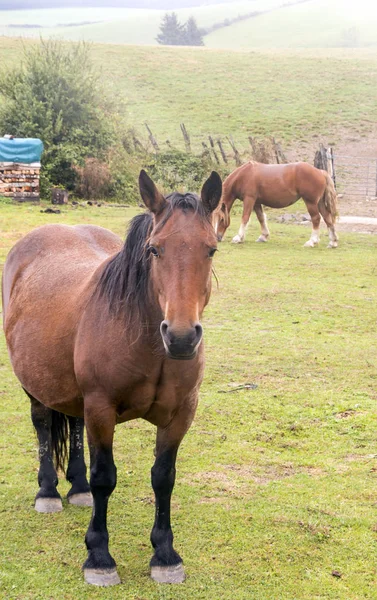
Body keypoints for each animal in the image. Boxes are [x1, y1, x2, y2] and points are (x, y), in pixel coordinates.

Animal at [1, 169, 222, 584]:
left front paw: (165, 555)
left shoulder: (181, 414)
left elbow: (163, 477)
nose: (181, 337)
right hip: (36, 386)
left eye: (212, 249)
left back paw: (77, 488)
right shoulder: (101, 409)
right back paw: (48, 492)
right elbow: (105, 477)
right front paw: (99, 556)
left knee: (72, 425)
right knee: (42, 424)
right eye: (154, 250)